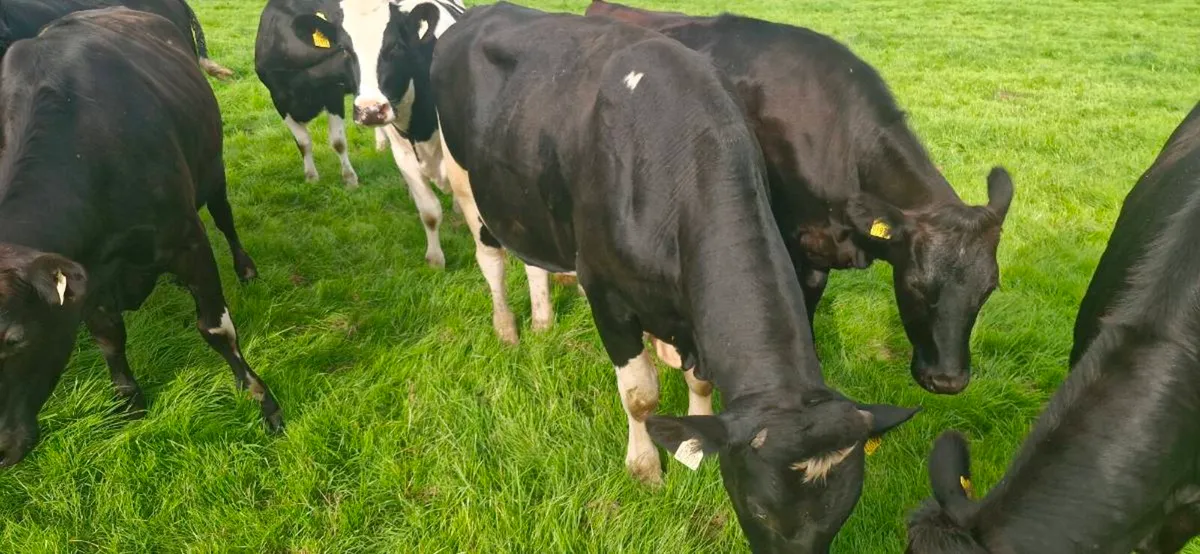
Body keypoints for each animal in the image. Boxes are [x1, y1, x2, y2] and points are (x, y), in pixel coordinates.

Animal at [253, 0, 464, 269]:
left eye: (396, 46)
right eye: (344, 49)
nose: (370, 110)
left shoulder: (332, 95)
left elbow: (337, 142)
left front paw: (349, 179)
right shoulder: (280, 100)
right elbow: (303, 143)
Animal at [432, 4, 918, 551]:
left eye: (842, 512)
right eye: (759, 508)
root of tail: (485, 13)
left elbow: (701, 381)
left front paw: (694, 433)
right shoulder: (605, 294)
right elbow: (640, 396)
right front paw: (646, 468)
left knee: (533, 257)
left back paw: (541, 322)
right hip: (464, 179)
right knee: (490, 257)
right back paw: (507, 329)